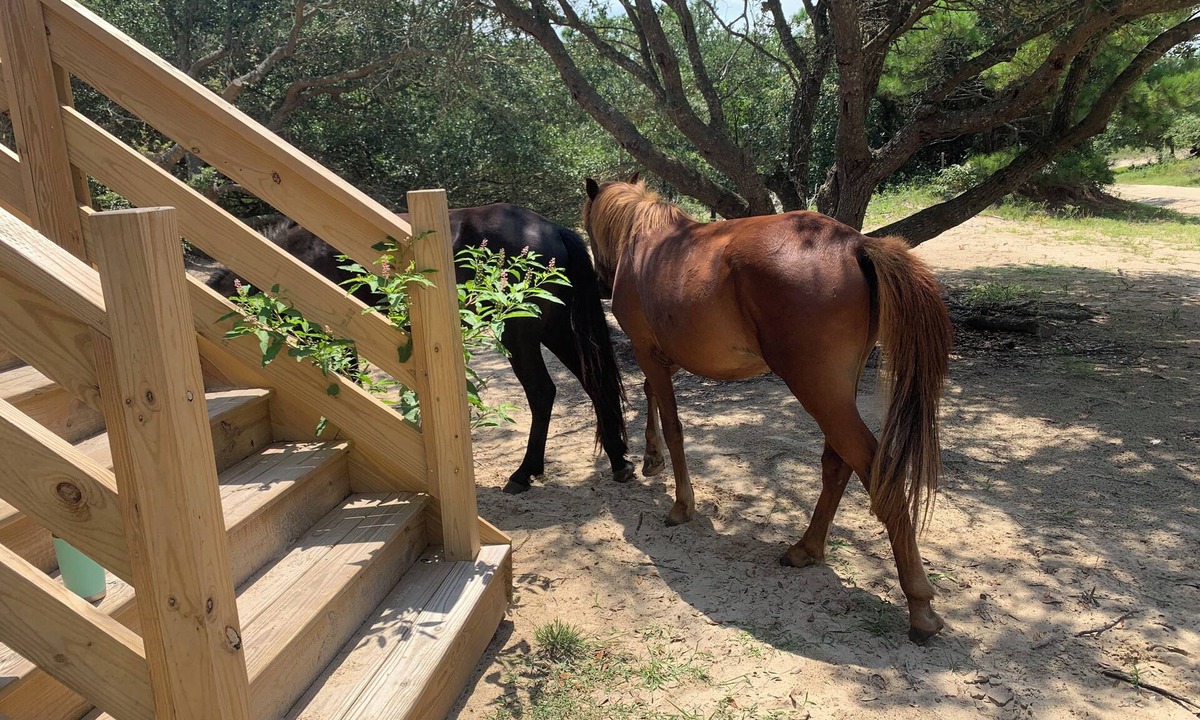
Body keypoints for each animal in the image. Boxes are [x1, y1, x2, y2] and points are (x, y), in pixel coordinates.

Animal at [208, 203, 636, 493]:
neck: (294, 258)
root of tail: (551, 228)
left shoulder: (336, 336)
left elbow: (346, 385)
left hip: (522, 336)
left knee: (542, 393)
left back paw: (523, 473)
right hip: (555, 332)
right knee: (595, 384)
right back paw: (618, 461)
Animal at [582, 177, 954, 643]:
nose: (598, 280)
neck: (647, 242)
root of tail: (855, 244)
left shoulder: (647, 351)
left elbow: (674, 426)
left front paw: (681, 505)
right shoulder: (661, 357)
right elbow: (651, 396)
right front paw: (651, 459)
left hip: (819, 392)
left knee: (874, 471)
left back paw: (920, 607)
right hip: (835, 393)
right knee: (837, 464)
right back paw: (805, 549)